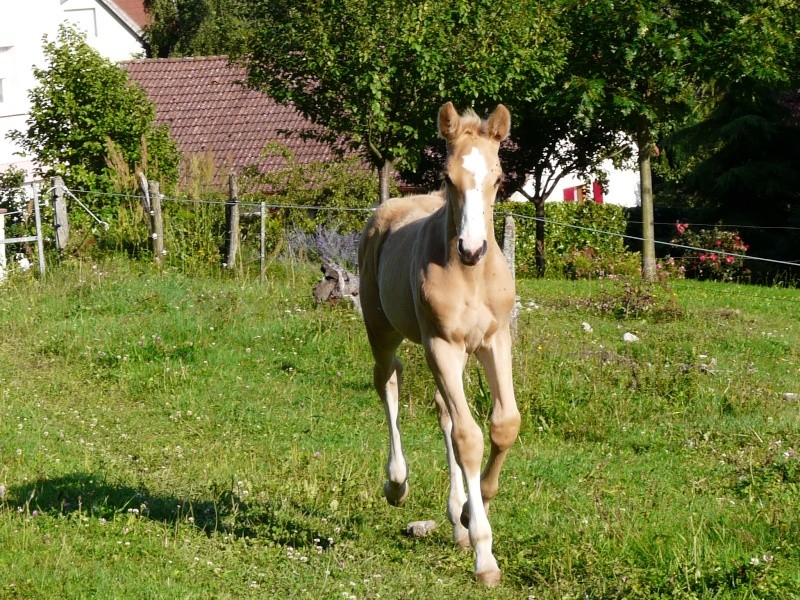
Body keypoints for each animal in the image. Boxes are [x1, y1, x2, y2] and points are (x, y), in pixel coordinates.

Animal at [360, 103, 520, 584]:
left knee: (442, 410)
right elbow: (469, 436)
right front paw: (484, 554)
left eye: (498, 178)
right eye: (448, 177)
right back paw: (396, 484)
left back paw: (456, 516)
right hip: (382, 330)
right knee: (388, 381)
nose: (472, 248)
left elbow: (503, 424)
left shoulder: (494, 341)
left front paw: (469, 512)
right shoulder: (440, 345)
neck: (471, 277)